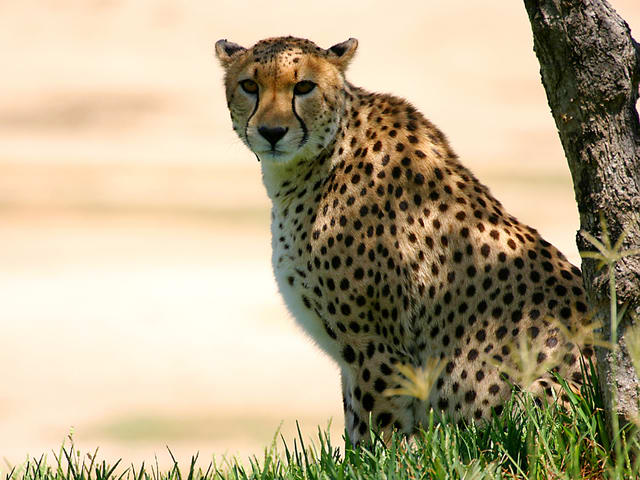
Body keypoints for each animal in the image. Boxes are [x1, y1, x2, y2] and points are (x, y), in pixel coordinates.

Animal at [215, 35, 596, 444]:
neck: (318, 160)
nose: (271, 132)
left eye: (303, 87)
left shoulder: (376, 349)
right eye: (249, 85)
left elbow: (376, 434)